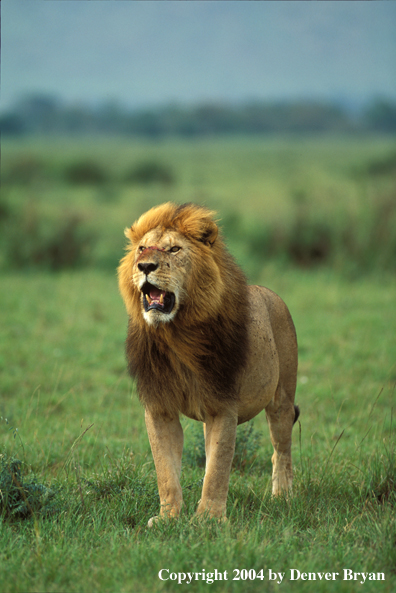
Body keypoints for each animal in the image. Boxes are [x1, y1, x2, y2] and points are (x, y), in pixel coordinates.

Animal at [119, 202, 298, 524]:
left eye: (174, 249)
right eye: (141, 249)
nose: (145, 267)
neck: (176, 333)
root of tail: (270, 292)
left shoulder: (222, 406)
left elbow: (218, 469)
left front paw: (207, 521)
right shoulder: (159, 408)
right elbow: (166, 470)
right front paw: (168, 517)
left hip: (282, 399)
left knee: (281, 449)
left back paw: (282, 497)